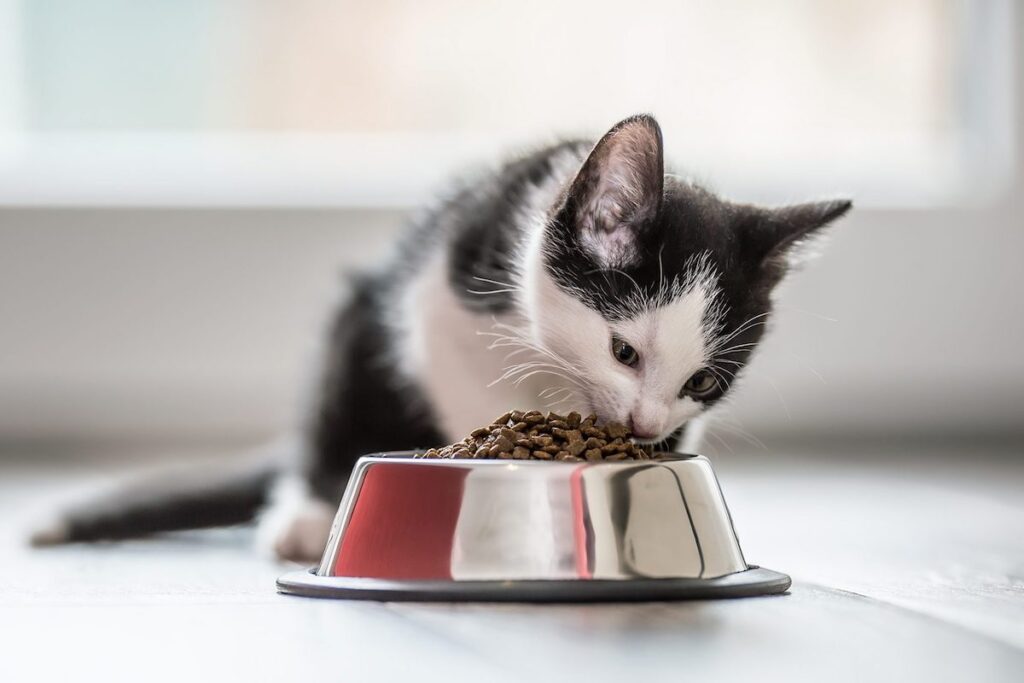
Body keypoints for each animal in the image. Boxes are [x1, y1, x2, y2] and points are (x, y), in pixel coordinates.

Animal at [29, 113, 847, 561]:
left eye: (702, 381)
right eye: (623, 351)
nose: (645, 426)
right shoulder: (437, 300)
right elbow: (461, 382)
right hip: (359, 323)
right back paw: (305, 515)